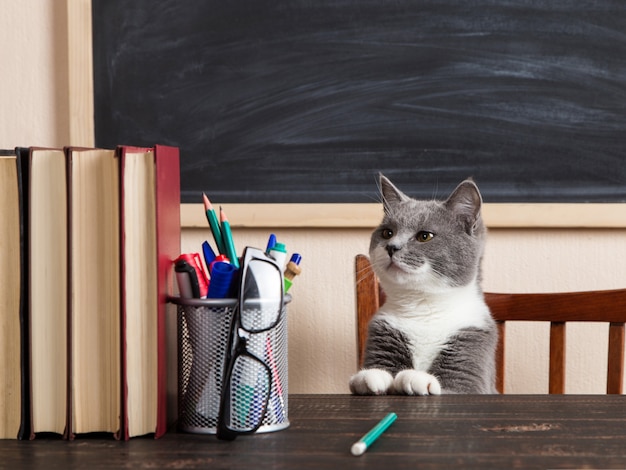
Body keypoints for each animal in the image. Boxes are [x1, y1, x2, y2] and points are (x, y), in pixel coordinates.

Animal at [348, 174, 494, 394]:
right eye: (387, 233)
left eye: (425, 236)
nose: (392, 247)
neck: (423, 307)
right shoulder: (383, 330)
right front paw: (371, 376)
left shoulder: (472, 341)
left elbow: (453, 389)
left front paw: (416, 378)